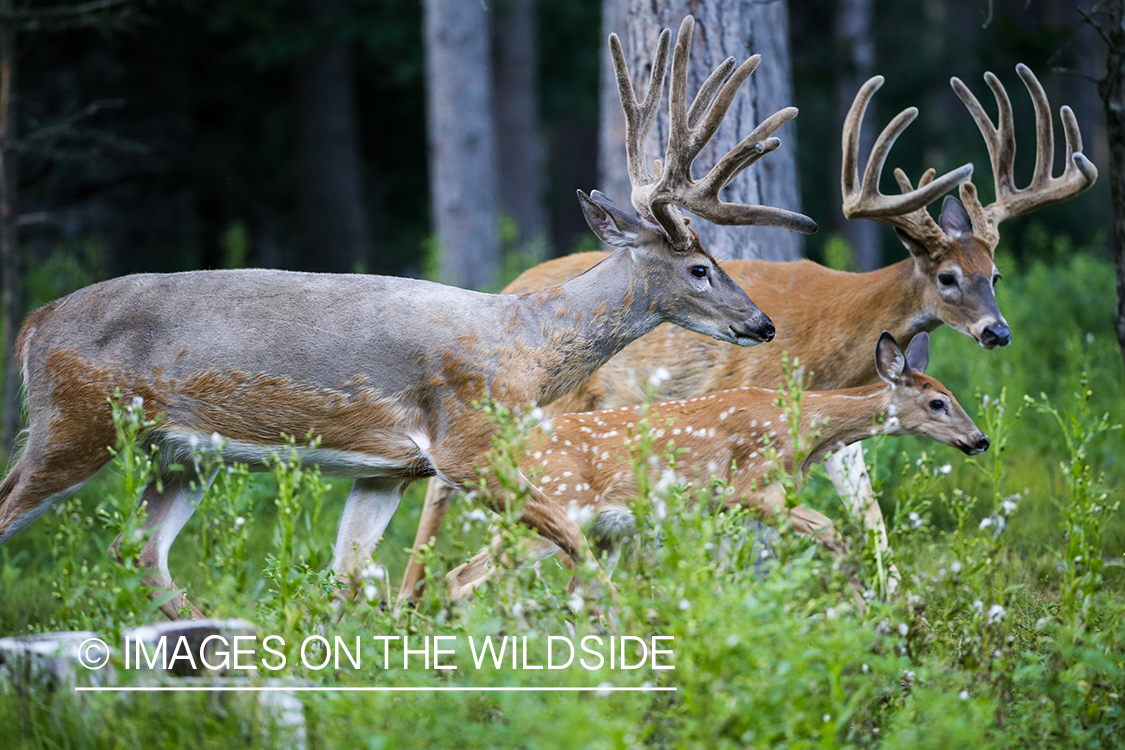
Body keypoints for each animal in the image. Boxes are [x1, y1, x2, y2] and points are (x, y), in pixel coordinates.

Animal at [0, 16, 819, 620]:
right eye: (699, 267)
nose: (763, 325)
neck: (526, 344)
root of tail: (34, 323)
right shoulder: (468, 443)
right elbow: (575, 543)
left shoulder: (389, 470)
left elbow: (351, 579)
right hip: (75, 420)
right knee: (23, 514)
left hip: (182, 454)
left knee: (138, 553)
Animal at [443, 330, 990, 602]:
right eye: (938, 402)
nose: (980, 439)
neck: (804, 431)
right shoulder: (745, 487)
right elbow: (831, 529)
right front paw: (867, 604)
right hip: (552, 508)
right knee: (462, 576)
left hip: (599, 534)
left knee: (573, 596)